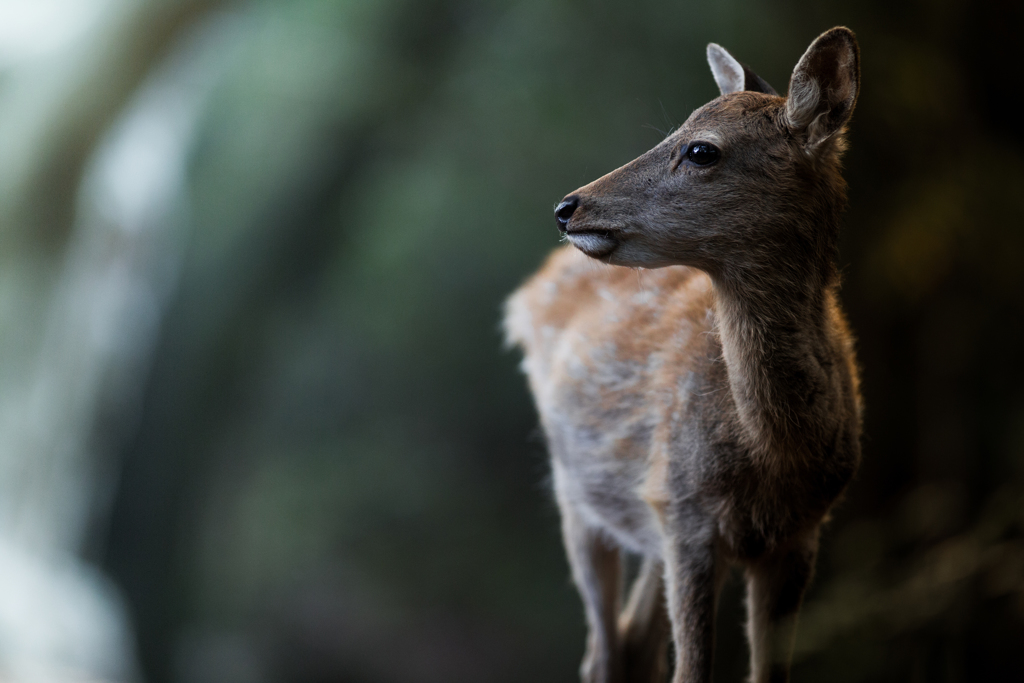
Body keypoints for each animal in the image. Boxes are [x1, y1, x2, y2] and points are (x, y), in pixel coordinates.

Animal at [503, 26, 864, 683]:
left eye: (701, 151)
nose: (567, 208)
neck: (774, 453)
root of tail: (527, 290)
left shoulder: (799, 534)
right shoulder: (688, 519)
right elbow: (691, 670)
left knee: (633, 643)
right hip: (579, 493)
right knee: (603, 651)